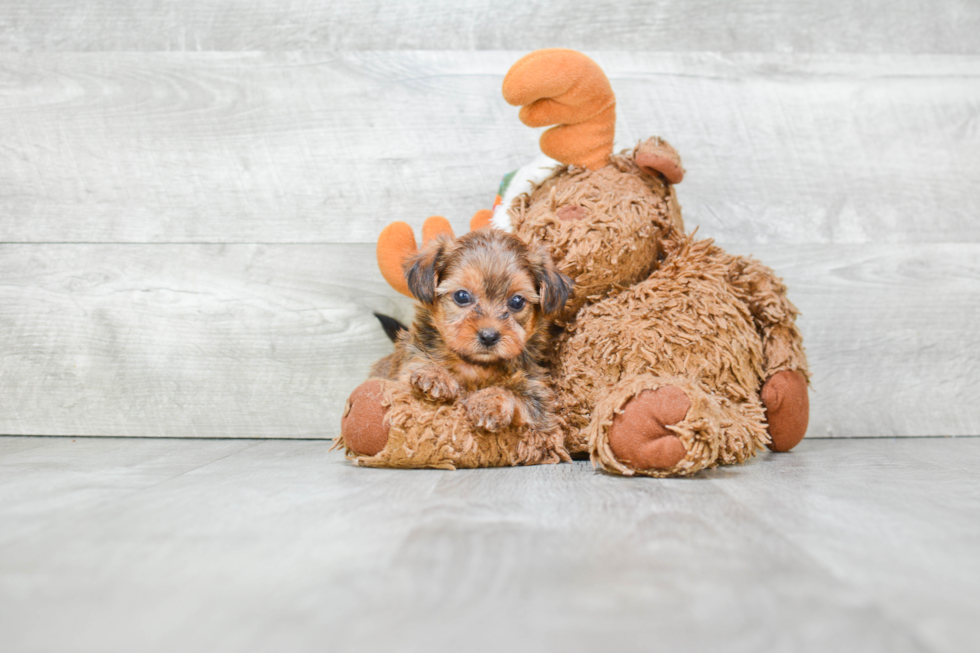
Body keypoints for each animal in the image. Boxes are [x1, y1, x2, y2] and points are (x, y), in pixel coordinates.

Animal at [376, 229, 576, 432]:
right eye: (462, 296)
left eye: (517, 301)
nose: (489, 336)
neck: (476, 365)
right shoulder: (407, 361)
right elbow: (417, 361)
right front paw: (434, 374)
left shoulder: (538, 396)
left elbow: (515, 394)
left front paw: (489, 402)